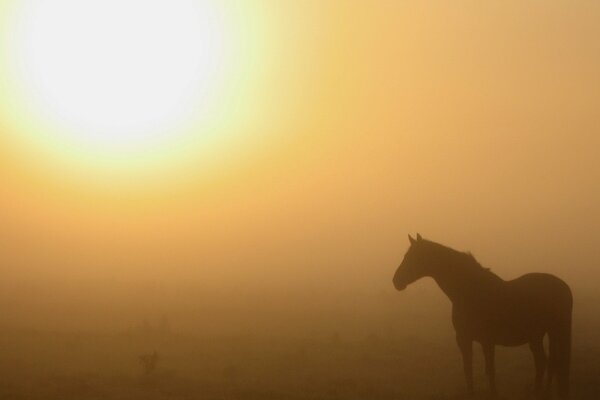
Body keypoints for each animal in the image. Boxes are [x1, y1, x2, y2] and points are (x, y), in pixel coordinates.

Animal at [394, 233, 572, 398]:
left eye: (413, 257)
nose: (396, 281)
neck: (470, 292)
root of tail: (563, 286)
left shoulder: (487, 341)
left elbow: (490, 370)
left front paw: (493, 394)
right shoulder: (464, 339)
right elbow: (468, 368)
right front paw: (471, 393)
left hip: (548, 333)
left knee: (546, 363)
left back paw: (539, 392)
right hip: (542, 335)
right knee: (547, 363)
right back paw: (542, 392)